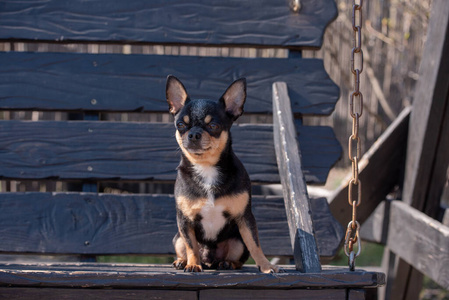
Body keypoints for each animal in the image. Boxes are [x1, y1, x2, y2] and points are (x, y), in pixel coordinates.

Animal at [166, 75, 278, 274]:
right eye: (180, 125)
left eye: (213, 125)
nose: (193, 134)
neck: (207, 167)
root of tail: (210, 260)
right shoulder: (185, 221)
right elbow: (191, 245)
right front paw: (192, 264)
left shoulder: (245, 218)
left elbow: (255, 244)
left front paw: (266, 266)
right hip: (177, 237)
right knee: (185, 247)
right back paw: (182, 261)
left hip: (237, 242)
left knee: (239, 257)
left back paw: (227, 263)